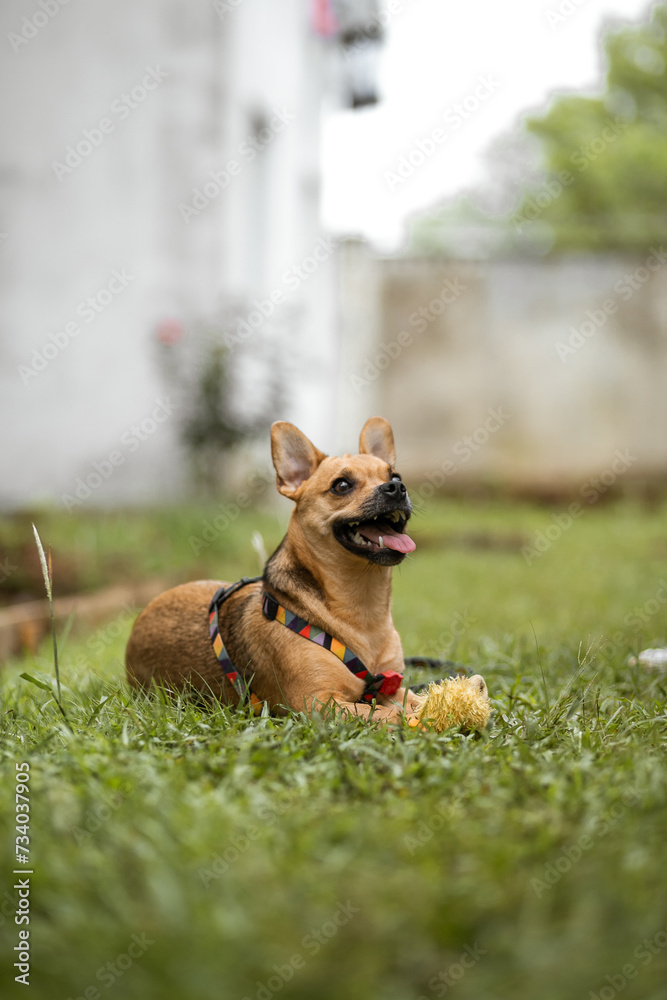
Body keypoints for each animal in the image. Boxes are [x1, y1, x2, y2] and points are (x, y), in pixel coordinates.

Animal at [124, 418, 486, 724]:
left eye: (395, 477)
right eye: (342, 485)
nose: (396, 489)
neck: (362, 609)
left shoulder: (392, 685)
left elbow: (411, 698)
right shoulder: (318, 703)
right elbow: (390, 714)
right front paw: (434, 714)